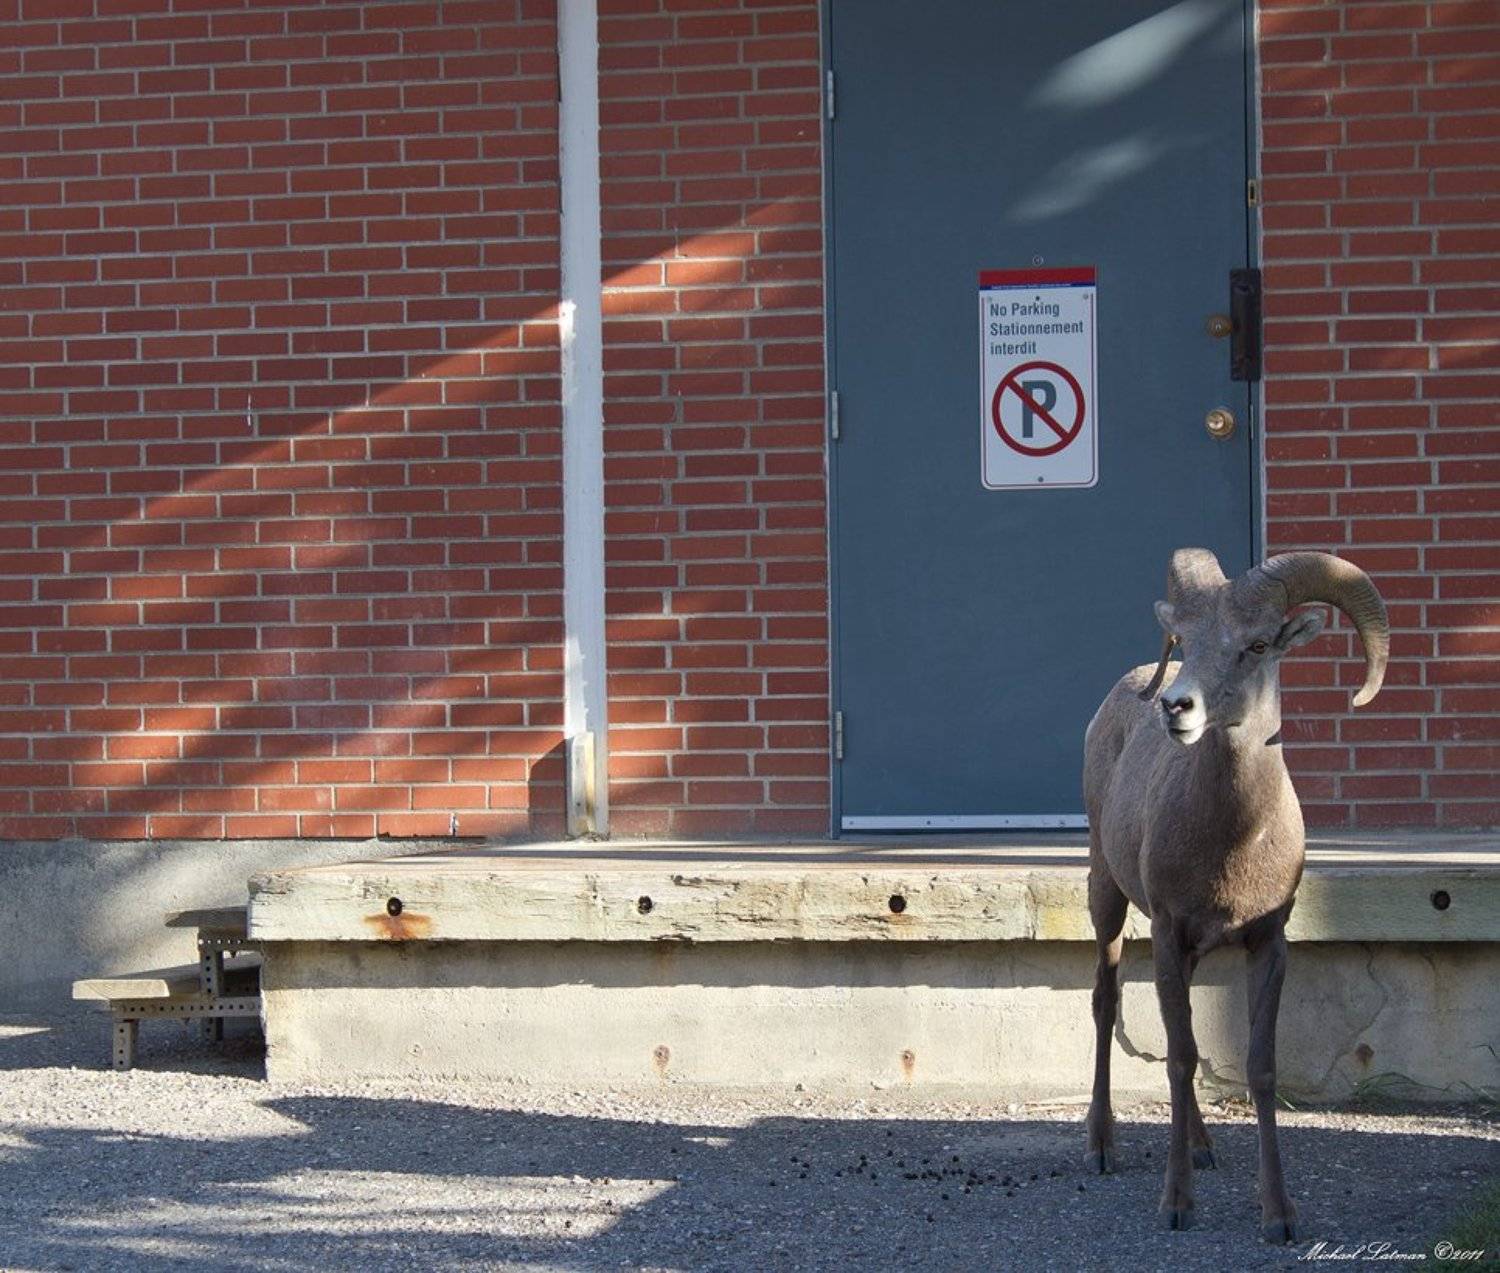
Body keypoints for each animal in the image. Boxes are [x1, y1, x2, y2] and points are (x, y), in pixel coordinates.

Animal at [1081, 548, 1389, 1243]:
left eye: (1256, 644)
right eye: (1186, 642)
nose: (1175, 706)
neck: (1234, 841)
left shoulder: (1267, 944)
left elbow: (1257, 1067)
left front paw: (1280, 1216)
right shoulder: (1168, 933)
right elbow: (1178, 1059)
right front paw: (1176, 1206)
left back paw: (1203, 1146)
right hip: (1106, 894)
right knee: (1106, 1001)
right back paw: (1103, 1147)